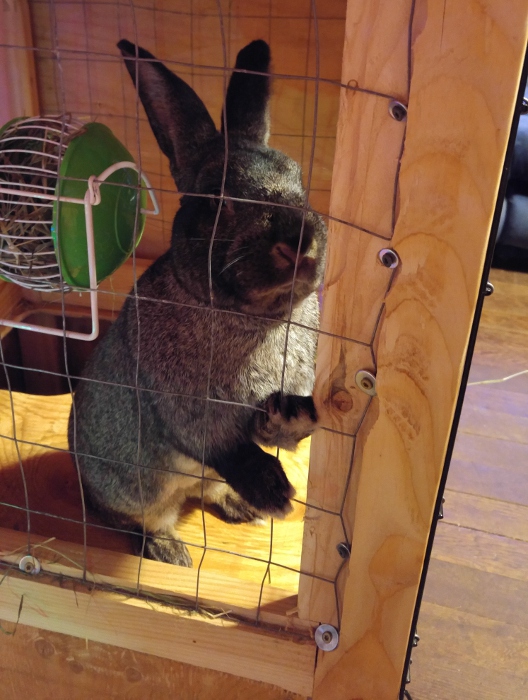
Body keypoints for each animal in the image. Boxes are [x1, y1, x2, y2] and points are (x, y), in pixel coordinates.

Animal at [67, 38, 326, 568]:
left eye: (300, 180)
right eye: (217, 199)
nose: (299, 240)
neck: (255, 318)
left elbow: (282, 434)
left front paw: (295, 416)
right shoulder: (188, 411)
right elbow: (227, 448)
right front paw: (275, 492)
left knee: (205, 492)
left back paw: (239, 507)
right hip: (136, 489)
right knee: (139, 518)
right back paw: (171, 551)